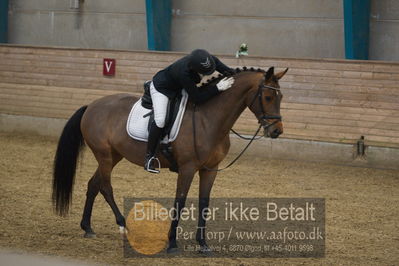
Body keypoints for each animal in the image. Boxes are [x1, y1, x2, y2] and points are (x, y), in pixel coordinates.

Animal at [52, 65, 288, 255]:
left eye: (281, 98)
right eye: (268, 97)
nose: (276, 131)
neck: (209, 119)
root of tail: (91, 106)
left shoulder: (209, 169)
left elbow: (204, 203)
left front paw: (203, 244)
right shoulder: (187, 168)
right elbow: (180, 202)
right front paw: (172, 243)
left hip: (114, 155)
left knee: (94, 184)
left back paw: (87, 227)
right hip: (105, 156)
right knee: (105, 186)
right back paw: (123, 225)